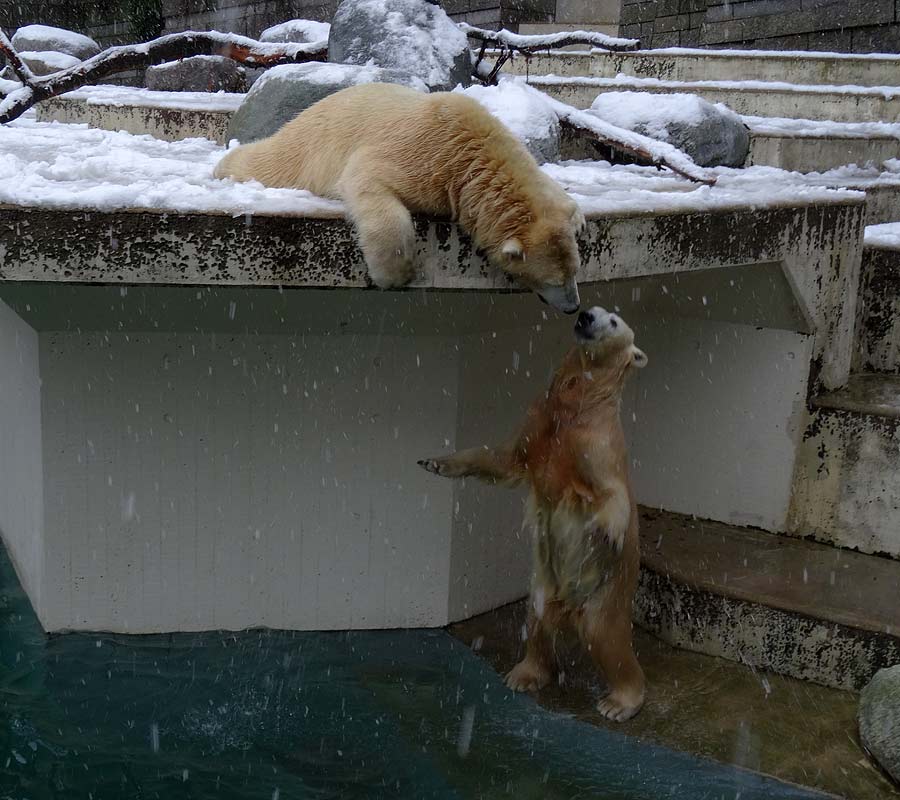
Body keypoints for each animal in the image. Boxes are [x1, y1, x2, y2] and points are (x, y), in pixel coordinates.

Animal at [215, 83, 588, 314]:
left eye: (575, 271)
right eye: (553, 281)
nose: (574, 307)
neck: (471, 152)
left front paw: (578, 216)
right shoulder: (425, 156)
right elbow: (367, 179)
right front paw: (395, 274)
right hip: (309, 142)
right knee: (269, 161)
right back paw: (223, 166)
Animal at [420, 310, 648, 720]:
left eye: (614, 321)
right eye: (595, 308)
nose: (585, 316)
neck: (576, 406)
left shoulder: (596, 443)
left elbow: (612, 495)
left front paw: (610, 533)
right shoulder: (540, 421)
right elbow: (501, 456)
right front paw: (436, 461)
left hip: (604, 593)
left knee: (606, 639)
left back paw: (619, 702)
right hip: (547, 585)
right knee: (538, 618)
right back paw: (524, 674)